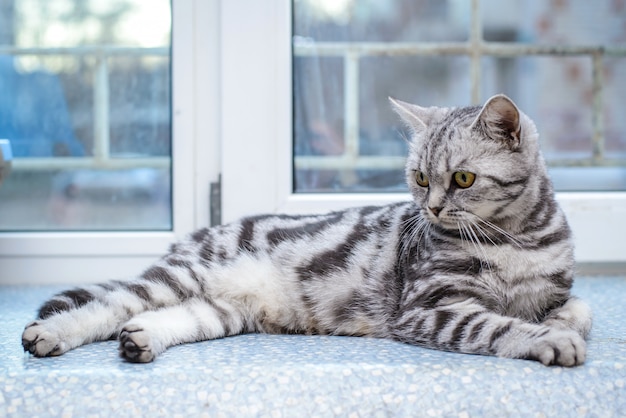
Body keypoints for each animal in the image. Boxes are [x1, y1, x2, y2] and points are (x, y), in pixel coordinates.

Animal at [20, 94, 588, 366]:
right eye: (421, 178)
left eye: (463, 179)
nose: (430, 209)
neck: (515, 239)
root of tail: (192, 238)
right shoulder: (431, 307)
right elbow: (496, 326)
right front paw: (545, 338)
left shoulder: (556, 287)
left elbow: (578, 307)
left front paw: (561, 324)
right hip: (179, 278)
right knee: (106, 306)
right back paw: (49, 333)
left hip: (222, 310)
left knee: (163, 318)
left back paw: (141, 342)